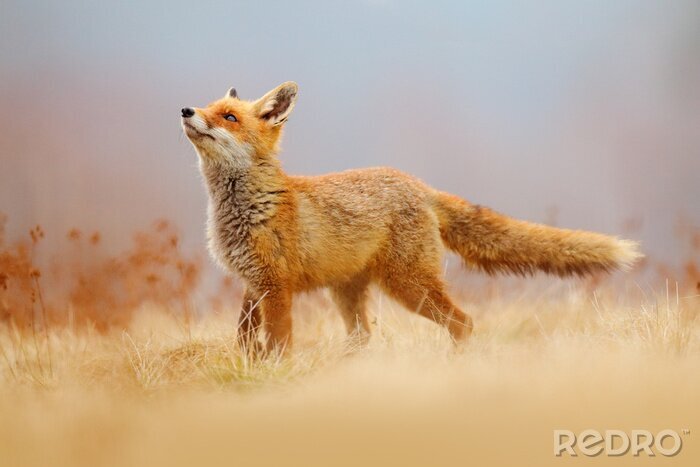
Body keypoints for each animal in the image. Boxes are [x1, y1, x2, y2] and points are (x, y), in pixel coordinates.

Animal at [181, 81, 642, 353]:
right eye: (208, 106)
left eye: (229, 117)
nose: (186, 110)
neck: (249, 208)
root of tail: (418, 184)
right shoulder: (252, 283)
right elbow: (243, 338)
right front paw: (247, 366)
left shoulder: (276, 287)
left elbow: (278, 342)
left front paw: (276, 372)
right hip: (349, 292)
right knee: (364, 337)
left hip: (408, 286)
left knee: (463, 323)